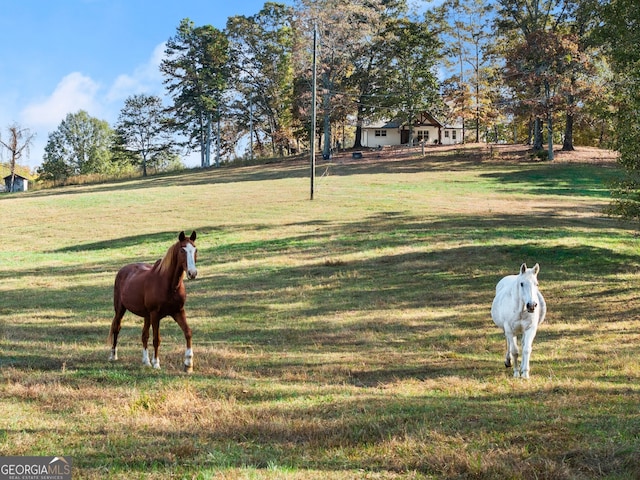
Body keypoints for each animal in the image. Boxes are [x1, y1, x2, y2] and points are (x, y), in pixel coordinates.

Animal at [109, 231, 198, 374]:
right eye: (182, 250)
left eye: (195, 249)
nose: (192, 273)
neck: (169, 285)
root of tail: (123, 270)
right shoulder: (156, 314)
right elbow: (156, 339)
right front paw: (156, 363)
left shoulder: (178, 312)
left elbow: (188, 333)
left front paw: (188, 364)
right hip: (120, 309)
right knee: (116, 328)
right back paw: (113, 355)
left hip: (146, 316)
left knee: (144, 335)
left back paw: (146, 361)